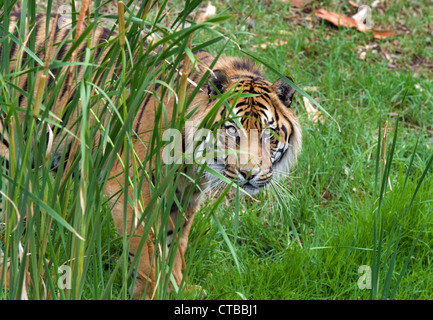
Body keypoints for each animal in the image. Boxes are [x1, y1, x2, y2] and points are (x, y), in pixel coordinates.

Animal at [0, 11, 302, 298]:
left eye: (269, 135)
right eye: (231, 130)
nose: (249, 174)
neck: (193, 162)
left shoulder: (183, 198)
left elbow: (175, 246)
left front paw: (181, 288)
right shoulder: (129, 190)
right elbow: (145, 252)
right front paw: (150, 293)